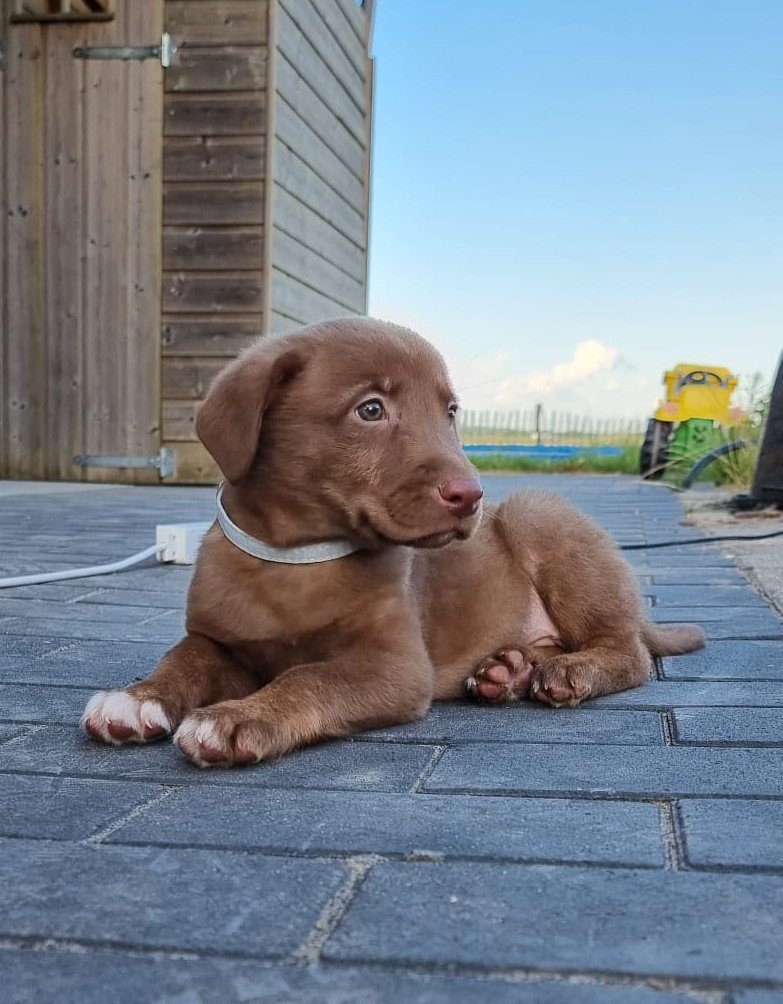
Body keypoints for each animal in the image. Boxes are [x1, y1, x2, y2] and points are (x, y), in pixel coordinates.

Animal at [82, 317, 706, 763]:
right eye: (371, 409)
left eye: (449, 411)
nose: (472, 495)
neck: (295, 559)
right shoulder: (219, 640)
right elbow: (181, 658)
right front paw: (136, 698)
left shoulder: (396, 666)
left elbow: (308, 676)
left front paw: (238, 718)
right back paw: (508, 670)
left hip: (540, 514)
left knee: (630, 652)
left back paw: (566, 672)